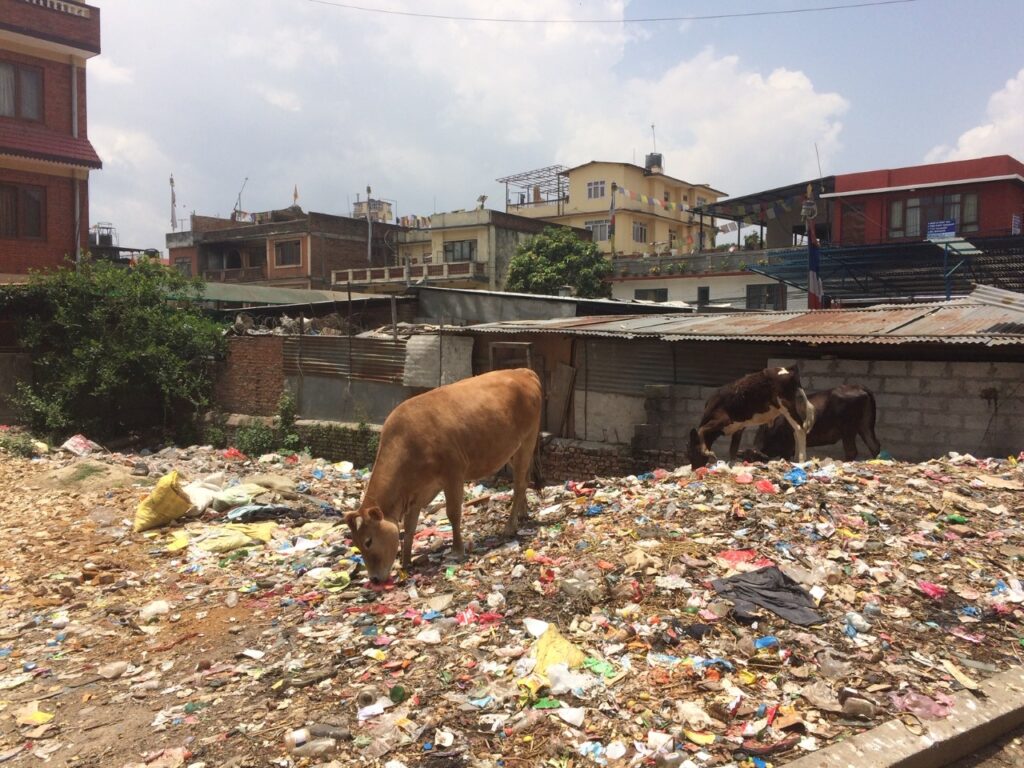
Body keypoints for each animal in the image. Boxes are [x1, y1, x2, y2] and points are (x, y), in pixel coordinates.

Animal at [346, 368, 540, 581]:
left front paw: (457, 549)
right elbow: (409, 527)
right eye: (356, 544)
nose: (373, 579)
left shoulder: (453, 473)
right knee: (524, 479)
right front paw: (406, 561)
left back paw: (510, 526)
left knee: (519, 485)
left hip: (528, 440)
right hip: (512, 450)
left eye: (369, 541)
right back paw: (523, 513)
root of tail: (523, 371)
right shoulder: (416, 492)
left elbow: (453, 513)